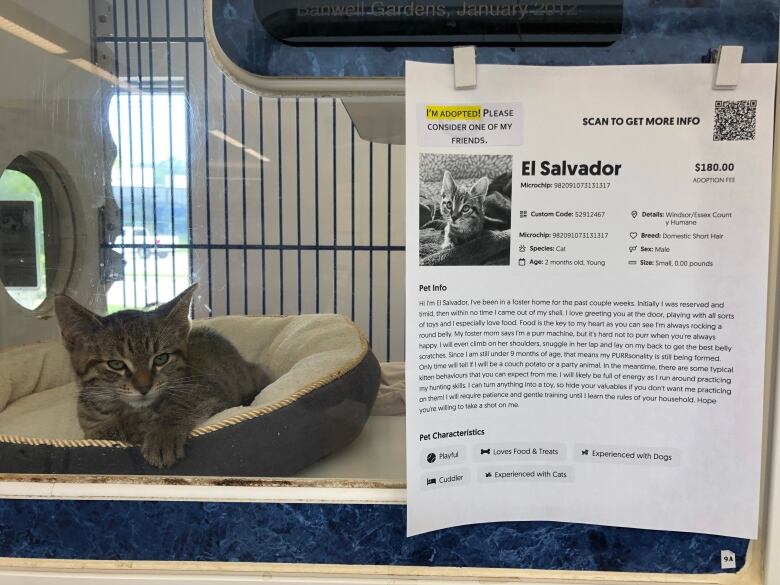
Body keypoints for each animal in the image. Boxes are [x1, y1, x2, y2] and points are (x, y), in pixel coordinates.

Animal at [54, 282, 268, 466]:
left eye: (161, 359)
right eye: (116, 364)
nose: (144, 387)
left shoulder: (211, 394)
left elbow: (178, 406)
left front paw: (163, 435)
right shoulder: (90, 423)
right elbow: (102, 431)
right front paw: (123, 428)